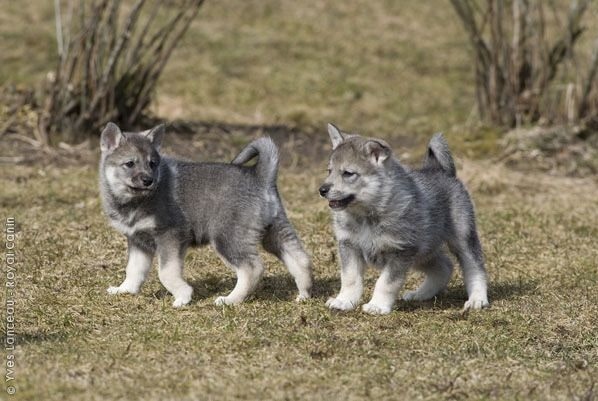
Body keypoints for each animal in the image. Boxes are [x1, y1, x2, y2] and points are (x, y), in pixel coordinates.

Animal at [99, 122, 314, 306]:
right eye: (130, 163)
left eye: (152, 163)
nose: (148, 180)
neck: (135, 200)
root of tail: (260, 177)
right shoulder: (138, 241)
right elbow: (134, 270)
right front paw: (125, 290)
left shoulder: (170, 236)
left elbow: (166, 273)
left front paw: (183, 297)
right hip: (274, 233)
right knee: (300, 259)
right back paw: (304, 294)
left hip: (227, 238)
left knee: (252, 269)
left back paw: (230, 300)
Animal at [322, 123, 490, 314]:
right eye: (329, 171)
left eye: (348, 173)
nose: (322, 190)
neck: (367, 215)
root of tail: (439, 170)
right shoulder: (349, 246)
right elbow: (350, 278)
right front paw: (344, 301)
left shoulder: (401, 252)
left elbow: (386, 283)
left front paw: (377, 305)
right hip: (423, 251)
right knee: (445, 267)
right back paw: (421, 294)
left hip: (461, 240)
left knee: (475, 268)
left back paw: (477, 299)